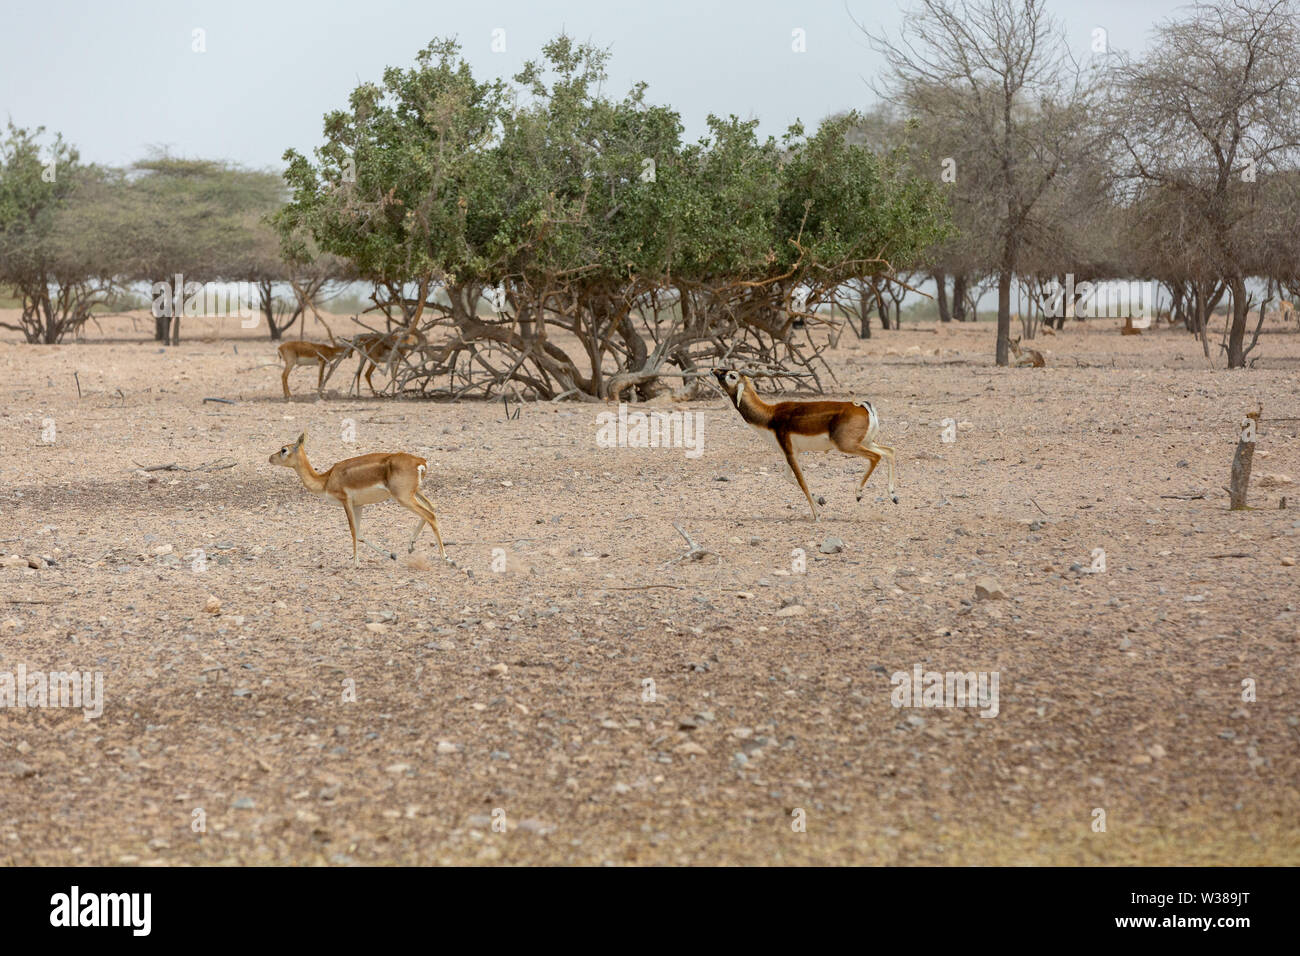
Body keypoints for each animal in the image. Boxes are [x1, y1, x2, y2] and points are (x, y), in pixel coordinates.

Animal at [268, 432, 448, 567]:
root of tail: (420, 462)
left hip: (403, 497)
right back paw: (411, 547)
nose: (270, 458)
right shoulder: (358, 505)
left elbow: (353, 531)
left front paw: (355, 562)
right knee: (432, 508)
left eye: (284, 449)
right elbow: (360, 534)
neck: (326, 480)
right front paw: (390, 555)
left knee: (430, 515)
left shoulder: (345, 501)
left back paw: (445, 557)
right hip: (415, 492)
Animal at [711, 368, 896, 522]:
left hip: (847, 445)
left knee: (876, 456)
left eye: (732, 375)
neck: (770, 416)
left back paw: (858, 494)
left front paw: (817, 515)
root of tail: (863, 407)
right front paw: (821, 501)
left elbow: (802, 481)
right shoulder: (792, 452)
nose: (713, 369)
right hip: (865, 442)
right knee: (889, 451)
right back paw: (893, 496)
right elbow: (788, 477)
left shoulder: (789, 452)